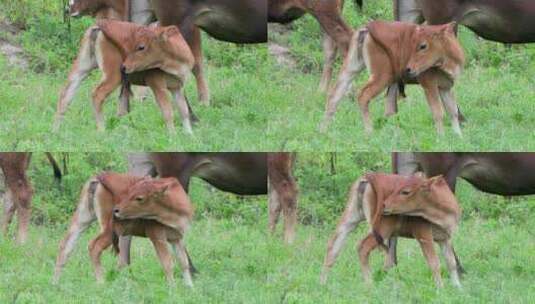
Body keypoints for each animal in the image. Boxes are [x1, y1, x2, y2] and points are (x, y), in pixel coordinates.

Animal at [51, 19, 195, 132]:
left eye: (141, 47)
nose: (124, 66)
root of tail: (99, 26)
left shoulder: (177, 87)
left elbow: (183, 111)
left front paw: (189, 135)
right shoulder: (157, 86)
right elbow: (168, 112)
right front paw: (173, 135)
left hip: (83, 66)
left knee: (66, 93)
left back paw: (55, 131)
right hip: (113, 76)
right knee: (97, 94)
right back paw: (102, 130)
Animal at [52, 172, 194, 286]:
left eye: (139, 197)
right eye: (130, 192)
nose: (117, 210)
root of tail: (100, 177)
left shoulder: (177, 238)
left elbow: (183, 262)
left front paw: (190, 287)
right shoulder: (157, 237)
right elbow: (167, 264)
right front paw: (172, 288)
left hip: (83, 218)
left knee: (66, 244)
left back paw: (55, 283)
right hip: (108, 230)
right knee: (94, 246)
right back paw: (101, 282)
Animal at [320, 20, 466, 135]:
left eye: (423, 45)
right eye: (416, 44)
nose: (408, 69)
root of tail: (367, 28)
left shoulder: (446, 87)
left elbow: (453, 111)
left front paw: (458, 136)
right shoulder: (429, 85)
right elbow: (438, 112)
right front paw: (441, 137)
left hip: (352, 67)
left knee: (334, 95)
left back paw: (323, 131)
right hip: (382, 77)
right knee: (363, 96)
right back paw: (369, 132)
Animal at [322, 173, 464, 288]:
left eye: (405, 191)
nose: (385, 204)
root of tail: (370, 175)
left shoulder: (445, 238)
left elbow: (451, 262)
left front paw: (457, 287)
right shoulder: (423, 234)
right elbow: (434, 263)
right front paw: (440, 288)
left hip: (351, 217)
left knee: (333, 245)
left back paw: (323, 284)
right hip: (382, 228)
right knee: (363, 247)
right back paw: (370, 285)